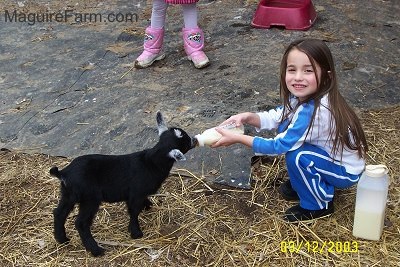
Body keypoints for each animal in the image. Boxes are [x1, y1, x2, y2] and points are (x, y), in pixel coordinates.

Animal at [49, 111, 196, 258]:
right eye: (185, 142)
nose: (194, 140)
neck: (151, 162)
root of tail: (64, 173)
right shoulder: (136, 193)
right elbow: (134, 211)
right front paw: (136, 233)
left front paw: (148, 205)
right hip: (89, 198)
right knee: (81, 223)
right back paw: (96, 250)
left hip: (68, 194)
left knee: (59, 213)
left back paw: (62, 239)